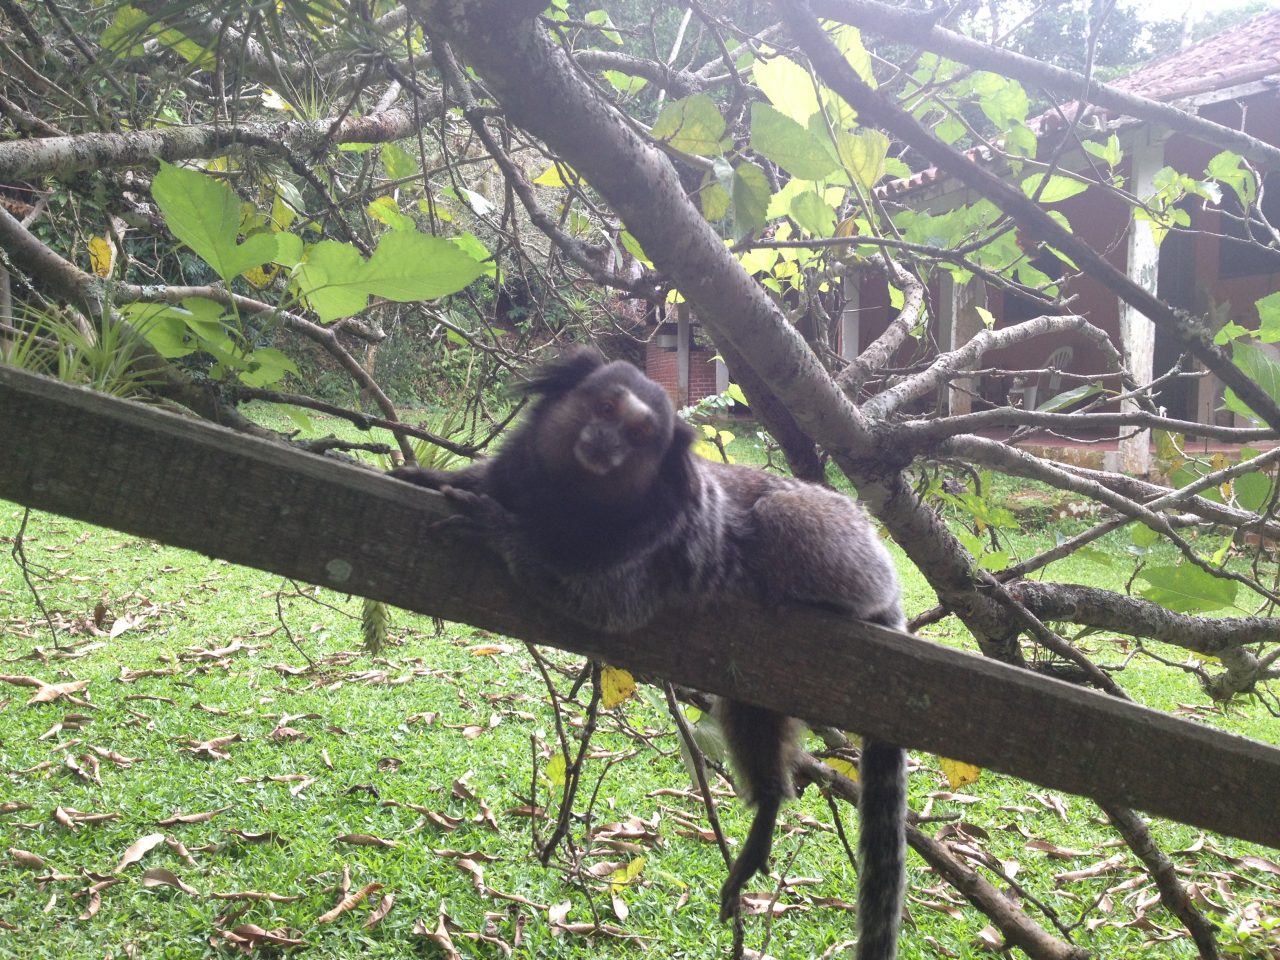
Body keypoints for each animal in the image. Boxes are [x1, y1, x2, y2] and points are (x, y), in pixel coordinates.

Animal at [394, 353, 906, 960]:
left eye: (640, 436)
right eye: (604, 408)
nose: (606, 442)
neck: (569, 499)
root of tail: (882, 565)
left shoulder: (641, 560)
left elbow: (598, 603)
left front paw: (496, 530)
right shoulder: (517, 475)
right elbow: (479, 482)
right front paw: (430, 477)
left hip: (834, 541)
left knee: (779, 520)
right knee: (753, 716)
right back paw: (766, 814)